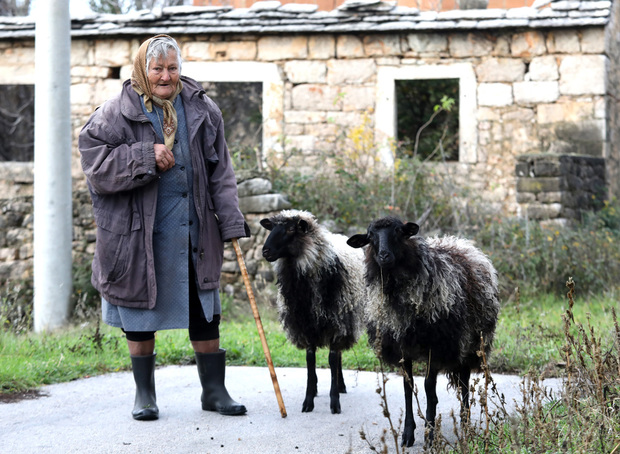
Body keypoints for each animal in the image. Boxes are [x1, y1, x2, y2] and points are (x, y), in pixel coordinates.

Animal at [260, 210, 366, 414]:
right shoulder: (305, 324)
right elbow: (310, 360)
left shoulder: (336, 323)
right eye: (272, 227)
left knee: (338, 355)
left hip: (345, 322)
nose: (265, 251)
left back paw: (340, 385)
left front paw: (335, 402)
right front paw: (308, 400)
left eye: (291, 229)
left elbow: (332, 359)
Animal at [346, 218, 502, 448]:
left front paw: (429, 434)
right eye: (370, 236)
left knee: (464, 383)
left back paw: (465, 423)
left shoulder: (434, 346)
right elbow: (407, 388)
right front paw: (407, 434)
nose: (384, 256)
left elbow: (429, 389)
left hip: (469, 343)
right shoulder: (403, 348)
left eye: (399, 231)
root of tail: (461, 243)